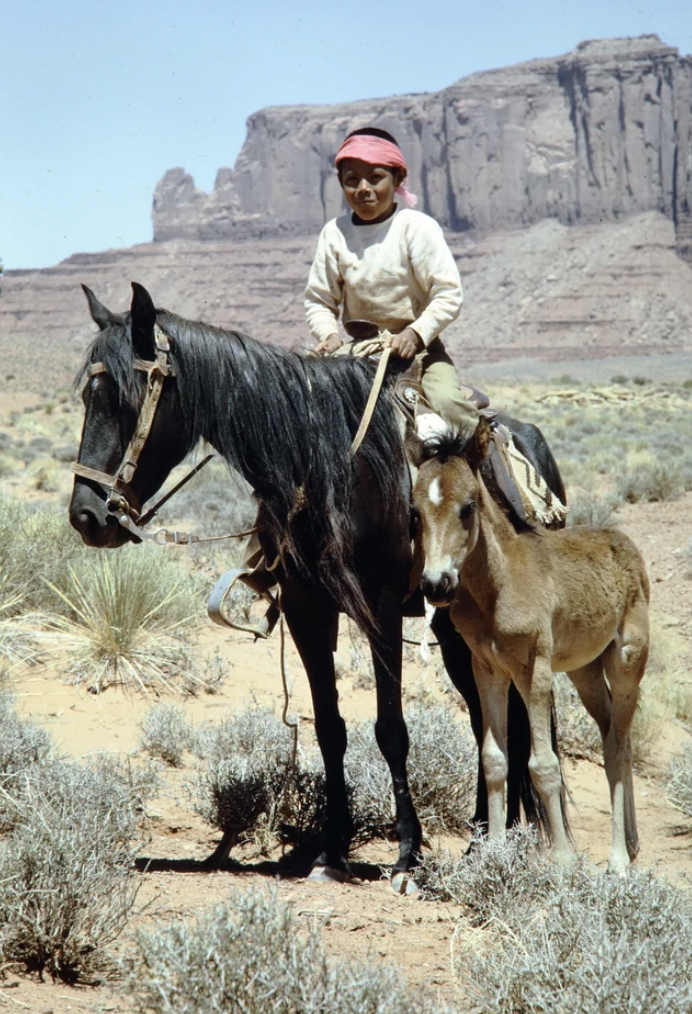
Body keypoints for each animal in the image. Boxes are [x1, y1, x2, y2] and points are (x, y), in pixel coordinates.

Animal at [70, 283, 564, 888]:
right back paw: (486, 841)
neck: (330, 467)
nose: (87, 516)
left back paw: (494, 839)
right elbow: (329, 727)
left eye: (124, 397)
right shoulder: (308, 610)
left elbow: (391, 730)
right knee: (485, 718)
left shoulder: (379, 610)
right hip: (458, 634)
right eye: (87, 397)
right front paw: (331, 852)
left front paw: (407, 855)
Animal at [411, 419, 649, 872]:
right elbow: (494, 759)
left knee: (618, 744)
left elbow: (543, 764)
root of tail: (626, 543)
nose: (435, 585)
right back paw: (630, 845)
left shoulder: (534, 670)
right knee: (613, 732)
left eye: (468, 507)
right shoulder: (486, 668)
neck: (499, 585)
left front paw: (563, 860)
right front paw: (495, 852)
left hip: (628, 660)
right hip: (585, 670)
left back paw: (618, 861)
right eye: (414, 511)